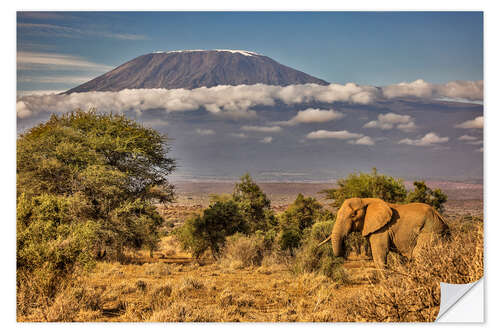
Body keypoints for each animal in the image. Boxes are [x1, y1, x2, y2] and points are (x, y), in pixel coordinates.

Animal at [318, 197, 452, 270]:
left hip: (431, 231)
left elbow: (380, 254)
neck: (366, 200)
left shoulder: (381, 229)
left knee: (419, 254)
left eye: (353, 215)